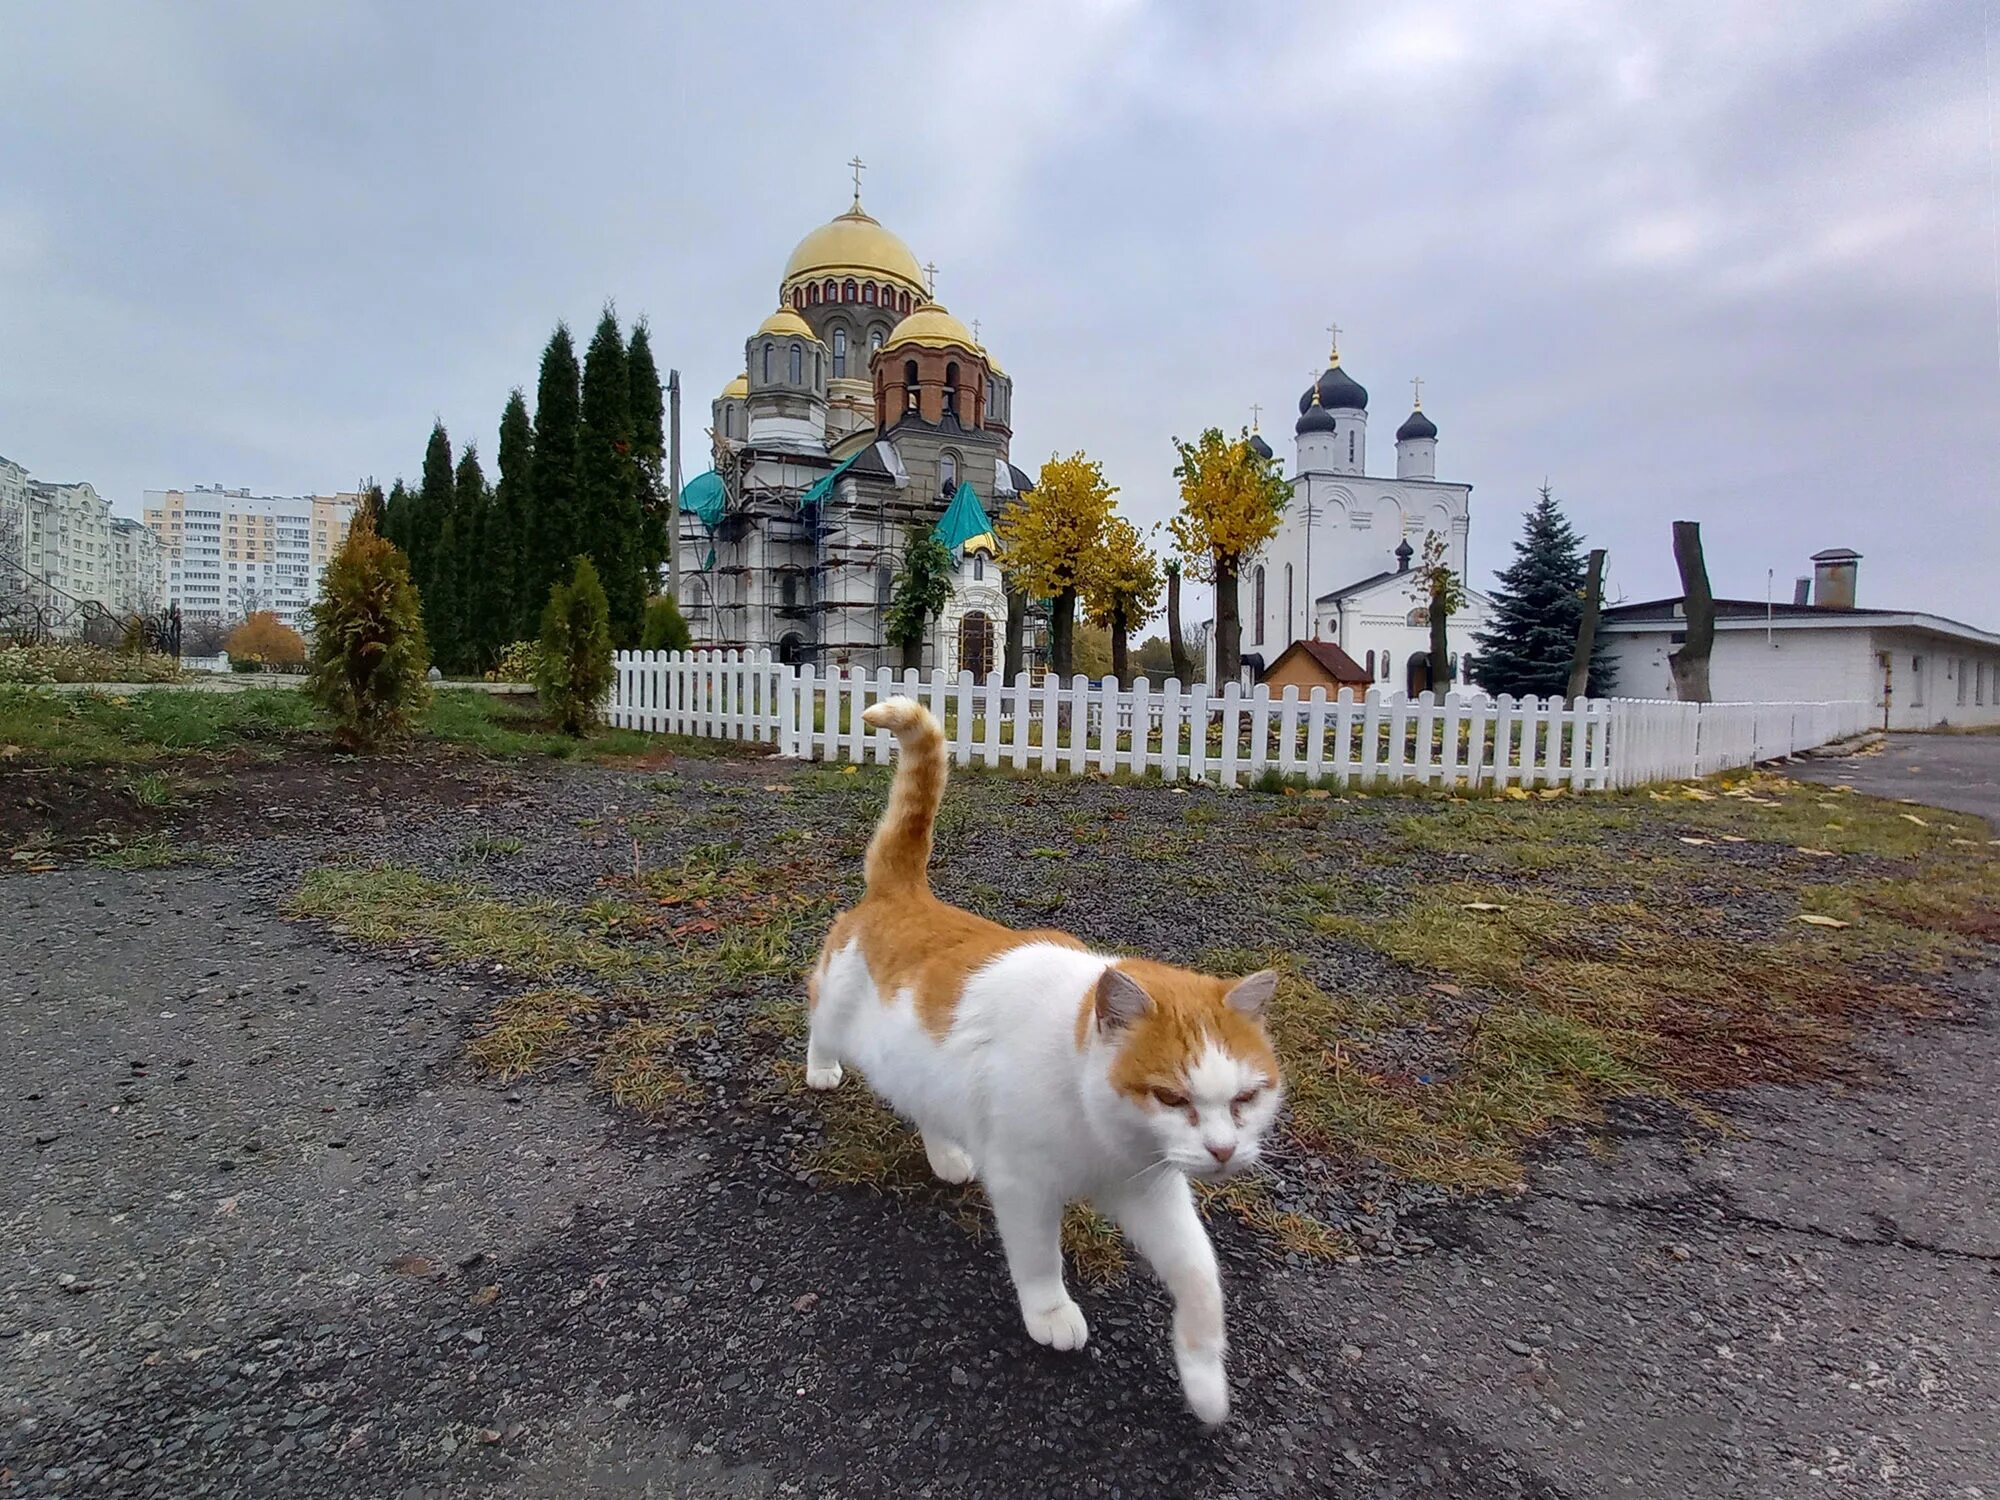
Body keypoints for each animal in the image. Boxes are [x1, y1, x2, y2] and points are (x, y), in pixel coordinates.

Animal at [800, 700, 1280, 1424]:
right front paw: (1050, 1313)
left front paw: (1204, 1382)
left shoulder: (1152, 1189)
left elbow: (1201, 1277)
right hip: (835, 1005)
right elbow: (1038, 1258)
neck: (1102, 1132)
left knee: (927, 1104)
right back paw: (822, 1069)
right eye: (1172, 1097)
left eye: (1246, 1098)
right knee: (819, 1021)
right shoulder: (1024, 1185)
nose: (1224, 1152)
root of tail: (906, 894)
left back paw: (946, 1154)